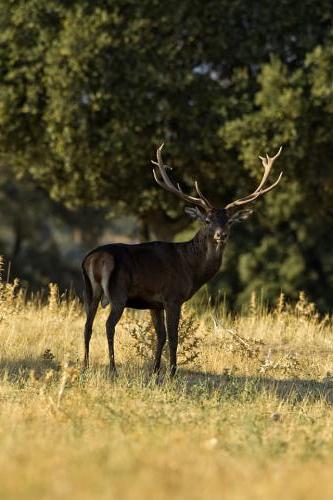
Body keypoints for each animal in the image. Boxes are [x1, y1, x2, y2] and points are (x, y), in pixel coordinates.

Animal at [81, 143, 282, 376]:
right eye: (207, 220)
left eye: (230, 221)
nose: (221, 235)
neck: (191, 269)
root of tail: (95, 259)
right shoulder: (173, 297)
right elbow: (173, 337)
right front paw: (171, 372)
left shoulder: (154, 303)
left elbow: (160, 336)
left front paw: (155, 370)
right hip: (118, 293)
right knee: (108, 325)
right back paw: (113, 369)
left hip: (90, 291)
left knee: (87, 325)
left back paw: (84, 365)